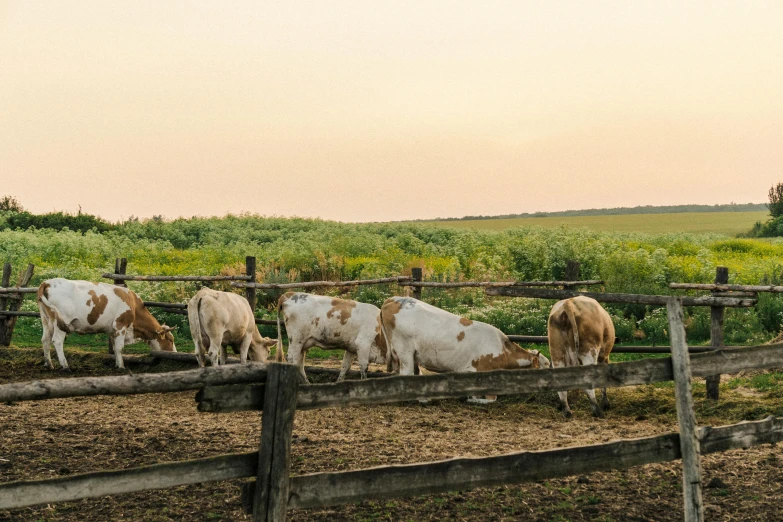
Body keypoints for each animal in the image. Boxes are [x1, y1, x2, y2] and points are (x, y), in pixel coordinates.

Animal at [37, 276, 176, 370]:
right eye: (170, 340)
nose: (174, 353)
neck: (133, 304)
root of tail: (47, 282)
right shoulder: (120, 325)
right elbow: (120, 348)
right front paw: (122, 367)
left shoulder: (113, 331)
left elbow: (115, 348)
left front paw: (117, 364)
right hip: (61, 322)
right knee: (57, 341)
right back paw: (65, 366)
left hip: (46, 321)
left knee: (45, 340)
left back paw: (48, 364)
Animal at [380, 296, 552, 402]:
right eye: (547, 365)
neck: (503, 349)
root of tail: (394, 299)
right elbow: (491, 399)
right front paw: (472, 399)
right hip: (404, 350)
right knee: (406, 374)